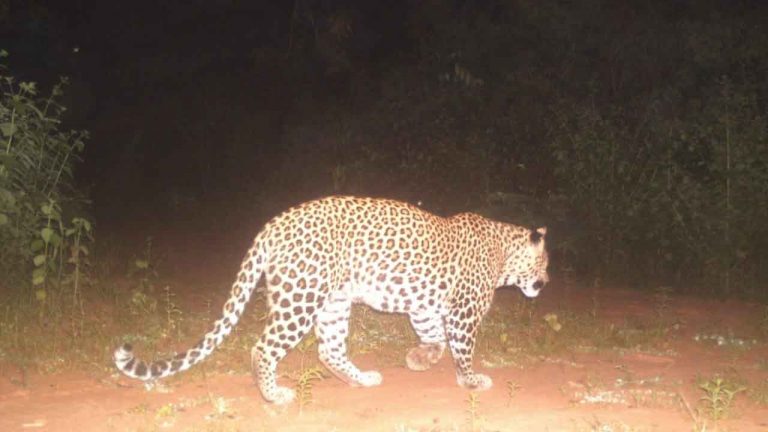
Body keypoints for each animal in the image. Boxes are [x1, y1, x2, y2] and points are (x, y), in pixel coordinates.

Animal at [114, 196, 549, 404]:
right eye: (545, 261)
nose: (546, 283)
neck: (503, 253)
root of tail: (273, 225)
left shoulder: (425, 305)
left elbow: (434, 337)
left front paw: (419, 359)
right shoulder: (463, 312)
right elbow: (461, 348)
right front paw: (471, 380)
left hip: (333, 302)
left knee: (329, 350)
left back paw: (360, 379)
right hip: (302, 298)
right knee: (263, 347)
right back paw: (274, 395)